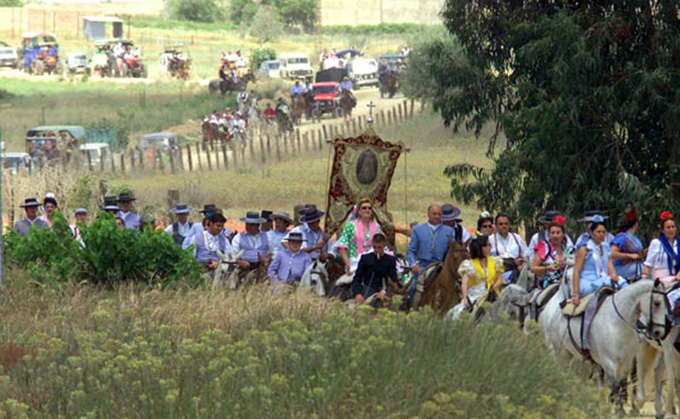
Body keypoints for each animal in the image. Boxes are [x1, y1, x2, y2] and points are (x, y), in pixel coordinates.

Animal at [540, 278, 668, 410]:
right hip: (561, 353)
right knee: (561, 371)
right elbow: (615, 388)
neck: (617, 322)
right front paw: (618, 409)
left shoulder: (626, 362)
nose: (660, 332)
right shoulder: (609, 363)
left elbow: (621, 384)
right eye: (657, 303)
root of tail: (556, 311)